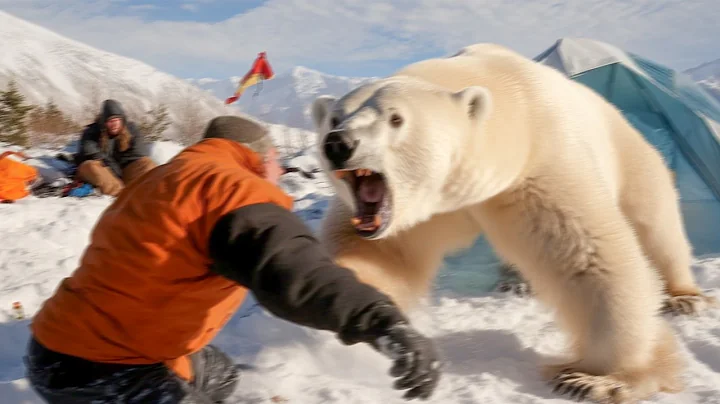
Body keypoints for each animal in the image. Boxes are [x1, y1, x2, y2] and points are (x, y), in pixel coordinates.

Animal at [309, 42, 717, 403]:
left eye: (395, 119)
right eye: (334, 118)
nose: (338, 143)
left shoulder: (536, 166)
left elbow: (590, 256)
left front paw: (598, 380)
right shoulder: (421, 212)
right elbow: (379, 255)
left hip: (631, 155)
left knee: (655, 222)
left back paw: (684, 297)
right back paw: (515, 283)